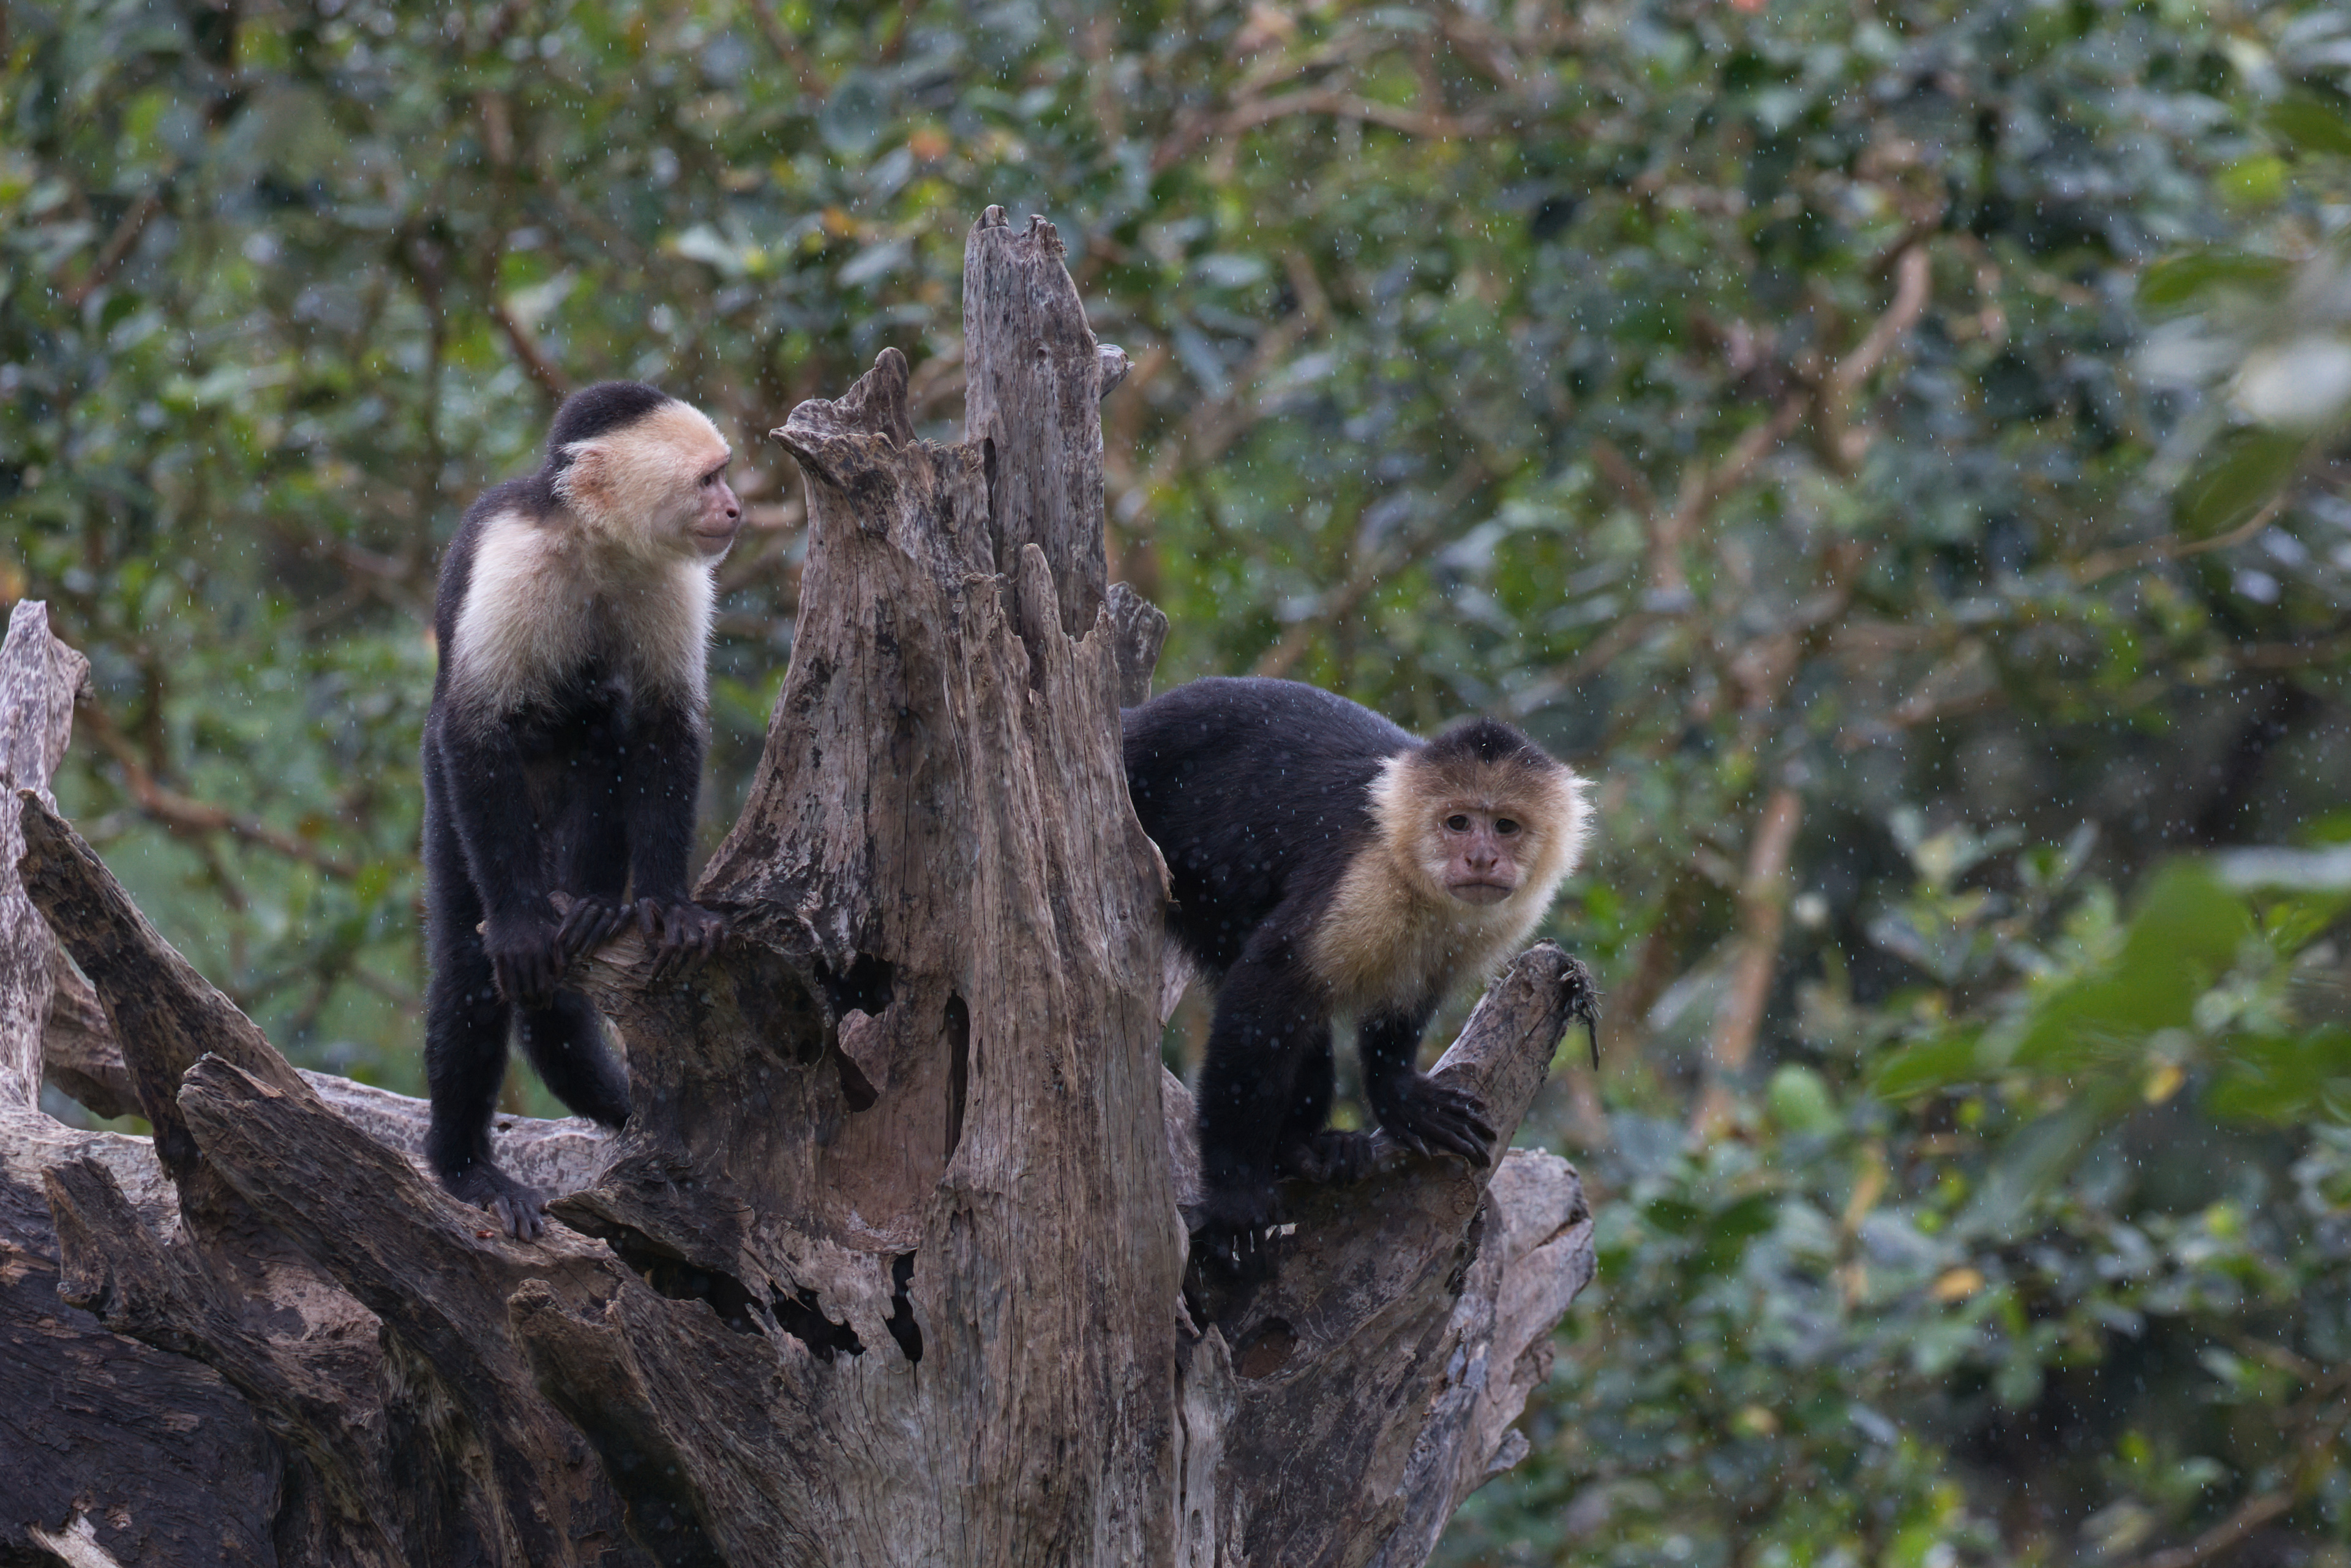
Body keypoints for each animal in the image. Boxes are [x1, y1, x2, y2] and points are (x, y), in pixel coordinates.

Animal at [422, 380, 740, 1239]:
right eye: (710, 479)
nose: (736, 508)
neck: (598, 546)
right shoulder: (514, 558)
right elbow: (476, 726)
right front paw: (522, 929)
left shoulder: (674, 577)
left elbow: (665, 724)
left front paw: (666, 904)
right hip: (449, 805)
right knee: (467, 956)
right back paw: (465, 1169)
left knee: (604, 726)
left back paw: (595, 904)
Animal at [1122, 676, 1592, 1247]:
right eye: (1458, 823)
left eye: (1505, 826)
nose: (1481, 858)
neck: (1410, 871)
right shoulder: (1364, 877)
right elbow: (1265, 985)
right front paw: (1236, 1193)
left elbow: (1412, 992)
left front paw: (1400, 1096)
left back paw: (1302, 1148)